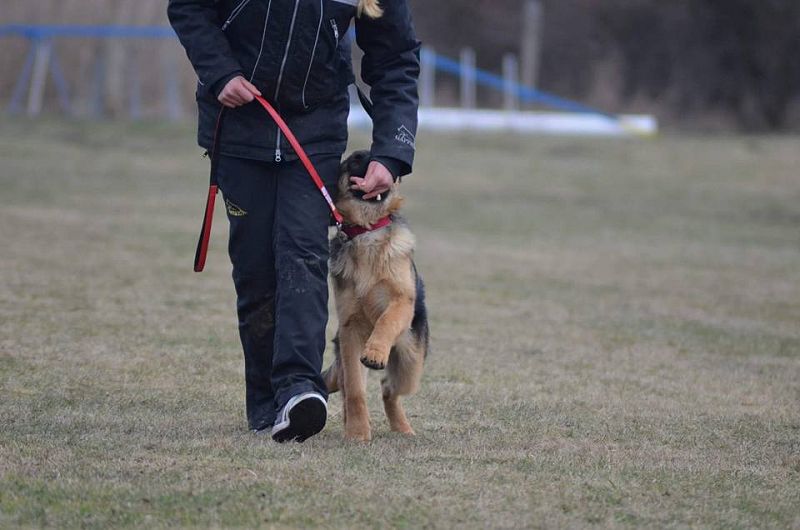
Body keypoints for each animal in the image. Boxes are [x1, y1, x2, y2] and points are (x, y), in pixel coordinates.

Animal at [322, 151, 428, 440]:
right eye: (352, 162)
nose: (369, 156)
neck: (367, 230)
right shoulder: (350, 329)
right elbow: (355, 390)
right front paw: (358, 433)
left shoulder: (402, 301)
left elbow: (386, 320)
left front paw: (375, 352)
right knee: (344, 381)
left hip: (411, 364)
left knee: (389, 389)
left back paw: (403, 428)